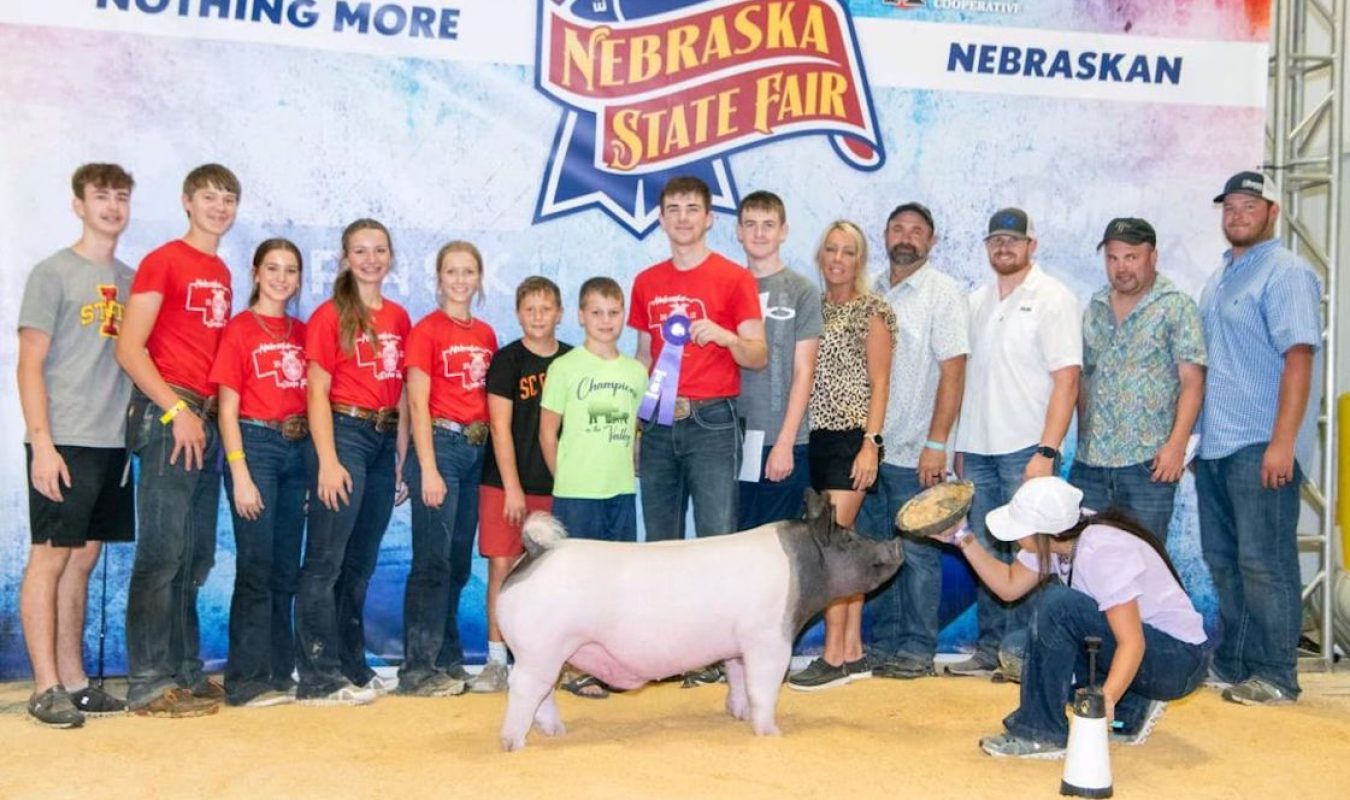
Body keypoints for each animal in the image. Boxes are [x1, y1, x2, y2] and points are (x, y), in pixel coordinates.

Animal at [496, 491, 907, 750]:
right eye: (848, 539)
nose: (896, 544)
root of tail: (537, 551)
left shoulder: (738, 647)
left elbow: (739, 681)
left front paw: (738, 716)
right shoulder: (768, 640)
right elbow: (764, 687)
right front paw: (771, 733)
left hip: (548, 652)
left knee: (544, 693)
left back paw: (556, 731)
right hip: (540, 648)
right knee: (524, 688)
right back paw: (514, 744)